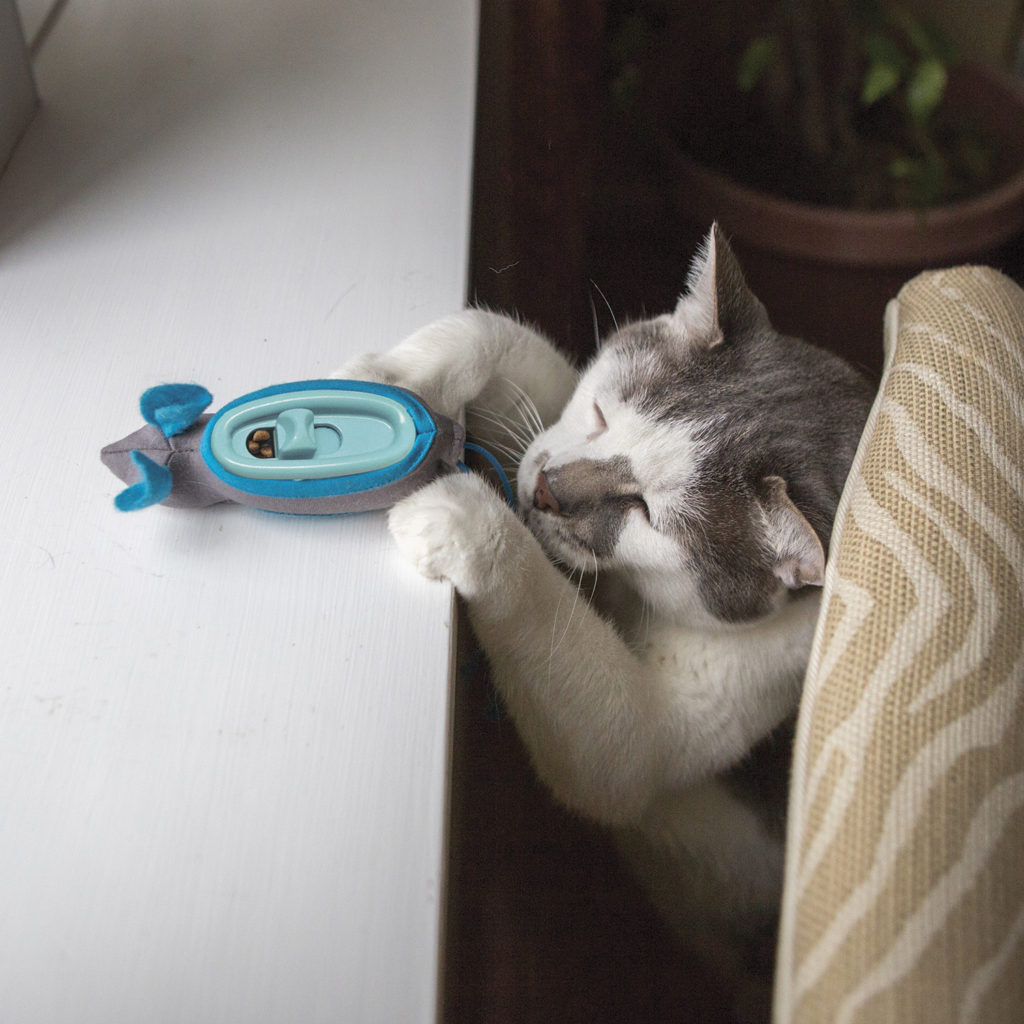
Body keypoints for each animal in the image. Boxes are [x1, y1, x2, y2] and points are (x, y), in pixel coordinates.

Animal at [335, 224, 872, 1015]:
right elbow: (501, 332)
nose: (547, 493)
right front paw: (392, 376)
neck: (630, 596)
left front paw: (462, 512)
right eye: (601, 416)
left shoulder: (648, 737)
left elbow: (599, 723)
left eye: (648, 512)